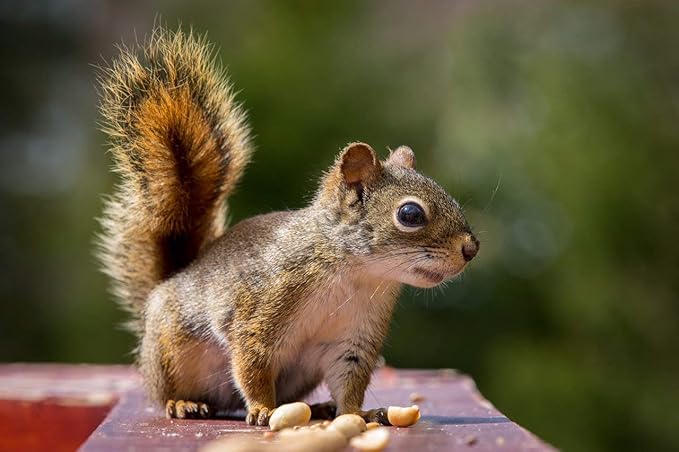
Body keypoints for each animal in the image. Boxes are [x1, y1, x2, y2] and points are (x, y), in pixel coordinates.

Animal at [97, 27, 479, 426]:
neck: (355, 274)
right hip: (171, 352)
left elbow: (349, 379)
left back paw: (317, 407)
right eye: (410, 215)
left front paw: (357, 413)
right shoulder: (260, 310)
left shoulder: (354, 338)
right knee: (167, 393)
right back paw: (184, 403)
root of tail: (172, 279)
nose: (471, 248)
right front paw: (264, 409)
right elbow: (252, 364)